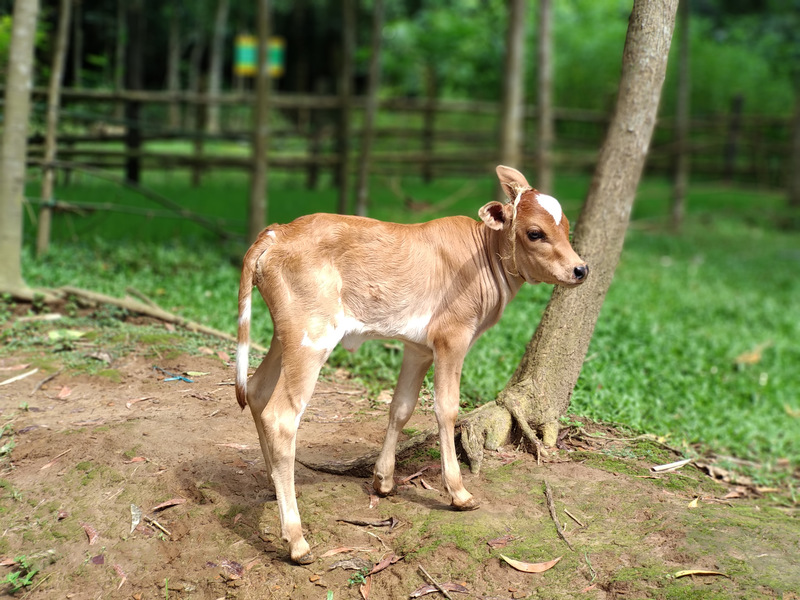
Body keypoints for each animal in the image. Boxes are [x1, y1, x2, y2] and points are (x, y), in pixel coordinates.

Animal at [236, 164, 588, 564]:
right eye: (535, 232)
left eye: (566, 227)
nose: (580, 269)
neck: (483, 256)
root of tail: (276, 231)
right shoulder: (452, 339)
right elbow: (446, 409)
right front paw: (458, 493)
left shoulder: (417, 347)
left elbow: (401, 407)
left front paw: (383, 480)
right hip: (312, 337)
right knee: (281, 416)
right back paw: (296, 539)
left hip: (285, 337)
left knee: (257, 391)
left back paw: (273, 487)